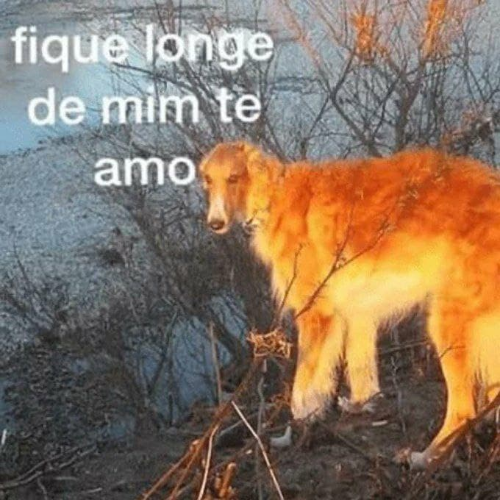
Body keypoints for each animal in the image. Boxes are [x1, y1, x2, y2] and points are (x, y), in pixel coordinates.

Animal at [199, 141, 500, 468]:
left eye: (234, 178)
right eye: (208, 180)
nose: (215, 223)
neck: (274, 196)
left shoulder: (316, 312)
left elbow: (301, 390)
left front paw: (296, 428)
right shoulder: (357, 313)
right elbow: (359, 371)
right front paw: (358, 405)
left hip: (446, 322)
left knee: (462, 411)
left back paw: (425, 457)